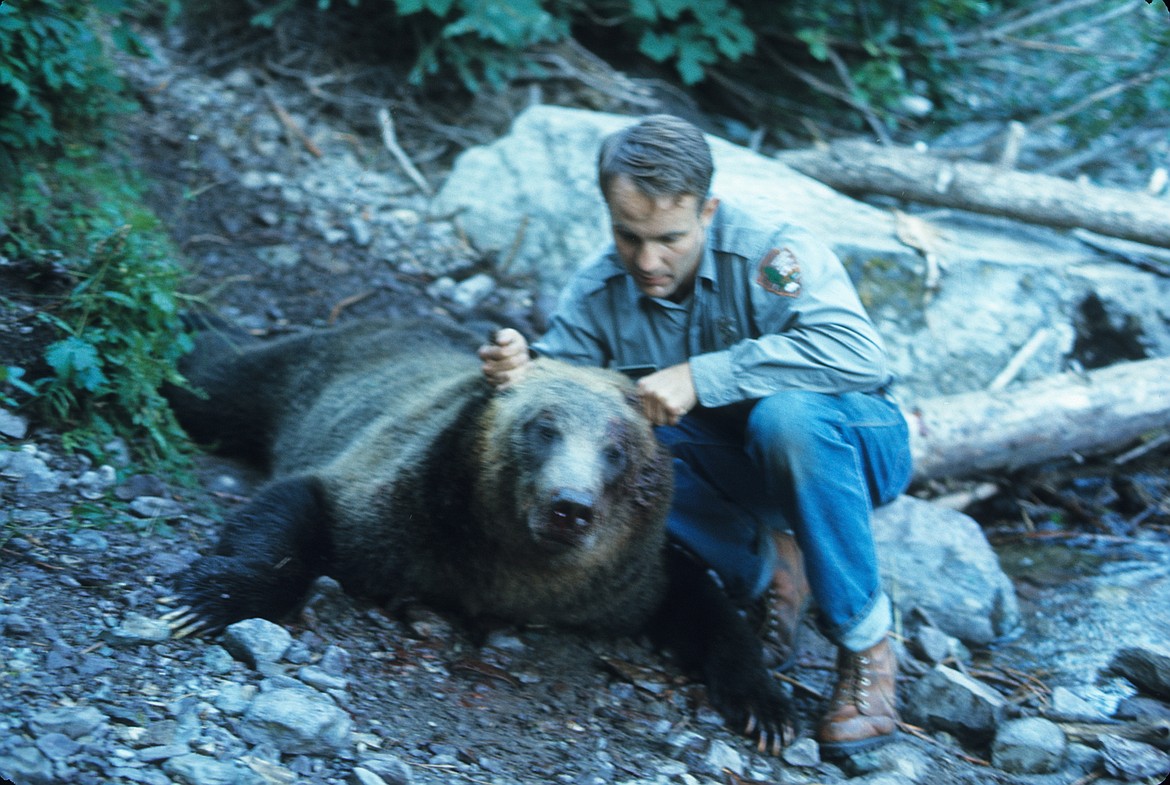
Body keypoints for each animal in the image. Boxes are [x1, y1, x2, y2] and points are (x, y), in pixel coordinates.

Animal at [164, 315, 795, 753]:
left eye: (615, 451)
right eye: (544, 428)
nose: (570, 506)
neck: (513, 570)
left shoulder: (624, 581)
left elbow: (698, 599)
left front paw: (765, 707)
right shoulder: (397, 509)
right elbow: (298, 510)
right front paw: (204, 602)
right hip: (308, 375)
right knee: (212, 382)